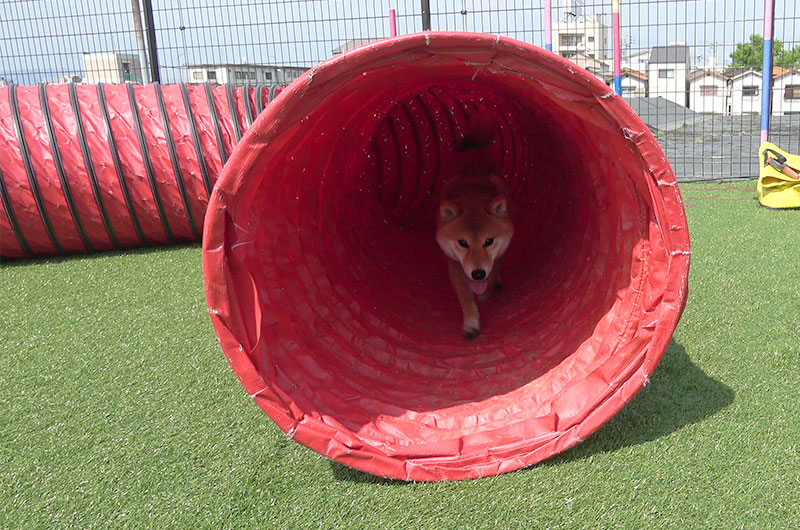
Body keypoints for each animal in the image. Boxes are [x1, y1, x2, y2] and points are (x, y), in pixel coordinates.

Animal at [438, 117, 512, 338]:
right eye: (463, 243)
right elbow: (465, 296)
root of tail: (471, 147)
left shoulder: (501, 252)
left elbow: (493, 271)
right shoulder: (453, 262)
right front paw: (471, 322)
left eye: (489, 241)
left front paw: (486, 291)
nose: (478, 274)